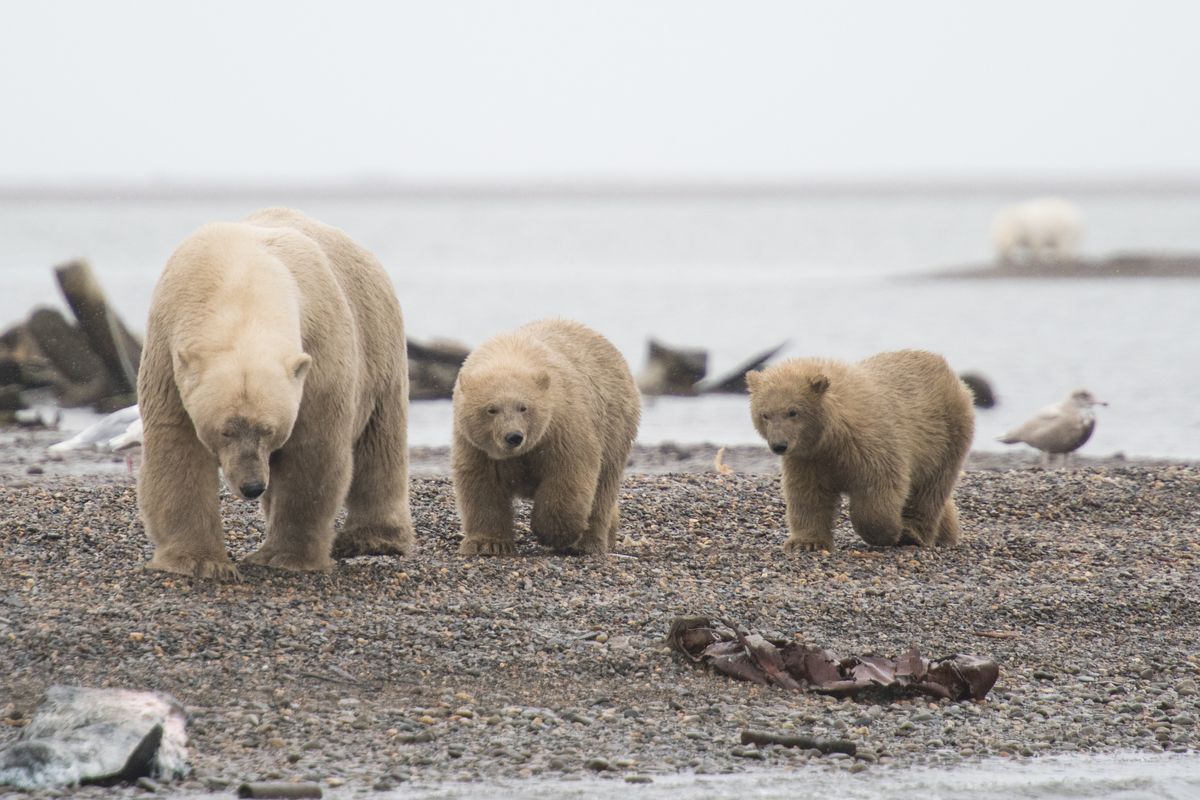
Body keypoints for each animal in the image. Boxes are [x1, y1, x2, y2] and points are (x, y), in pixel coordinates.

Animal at [137, 209, 412, 578]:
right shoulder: (168, 348)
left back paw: (373, 538)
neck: (239, 280)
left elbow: (312, 449)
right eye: (225, 430)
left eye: (268, 430)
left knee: (380, 442)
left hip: (378, 341)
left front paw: (284, 557)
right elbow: (177, 445)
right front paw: (199, 561)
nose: (252, 486)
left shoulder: (319, 351)